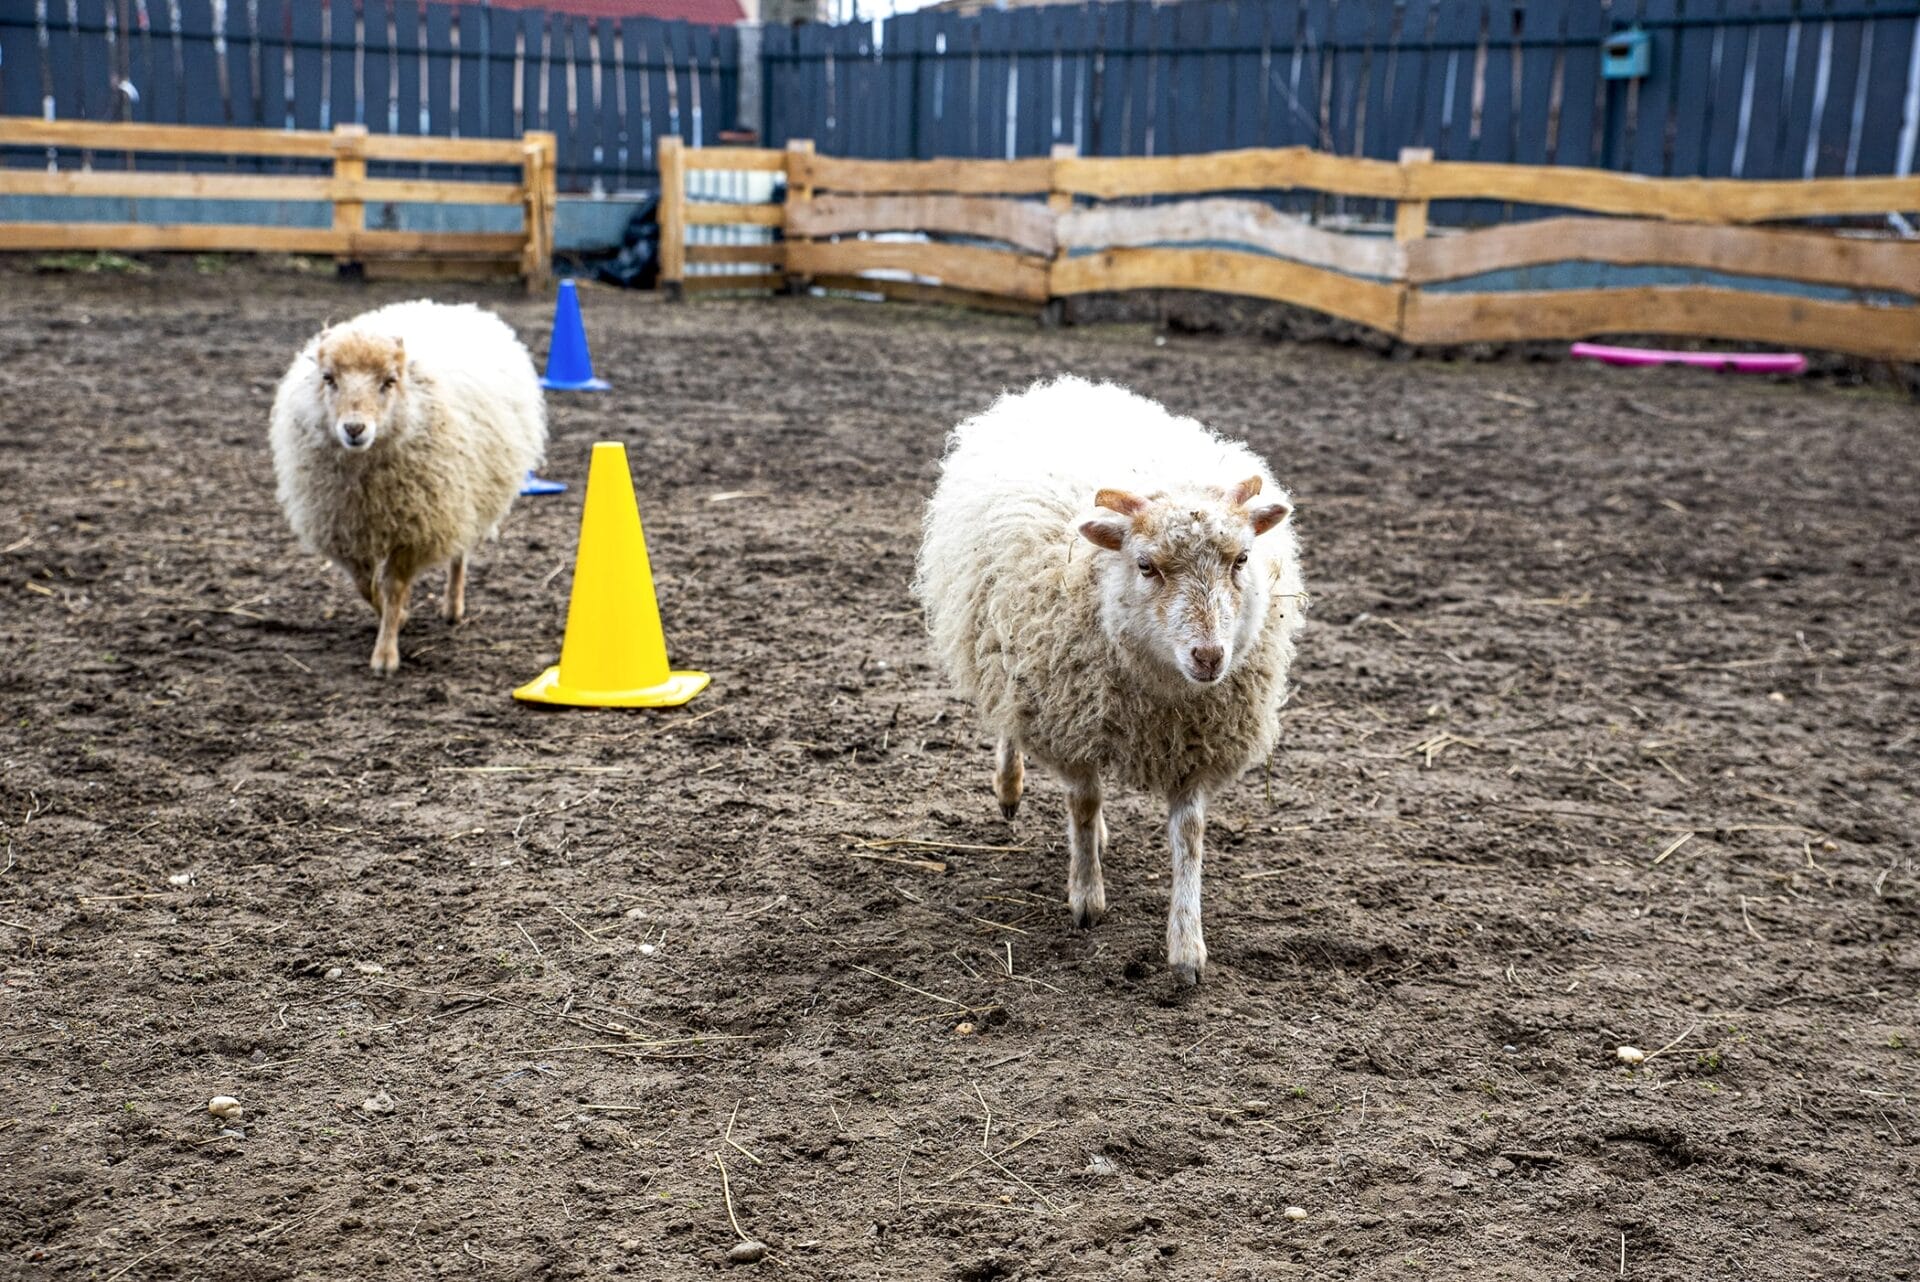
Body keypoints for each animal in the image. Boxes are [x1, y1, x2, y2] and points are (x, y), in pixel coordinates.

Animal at [268, 301, 549, 675]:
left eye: (389, 381)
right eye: (328, 378)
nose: (354, 428)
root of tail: (457, 307)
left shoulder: (415, 527)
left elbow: (394, 586)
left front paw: (386, 655)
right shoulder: (346, 530)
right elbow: (366, 585)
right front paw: (398, 616)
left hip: (465, 495)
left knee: (460, 553)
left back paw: (452, 608)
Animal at [913, 376, 1305, 990]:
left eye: (1242, 559)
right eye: (1146, 566)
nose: (1209, 656)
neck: (1167, 693)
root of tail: (1064, 386)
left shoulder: (1197, 743)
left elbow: (1189, 835)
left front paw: (1187, 947)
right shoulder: (1071, 720)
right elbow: (1083, 801)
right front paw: (1086, 898)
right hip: (1004, 651)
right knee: (1008, 722)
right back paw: (1009, 787)